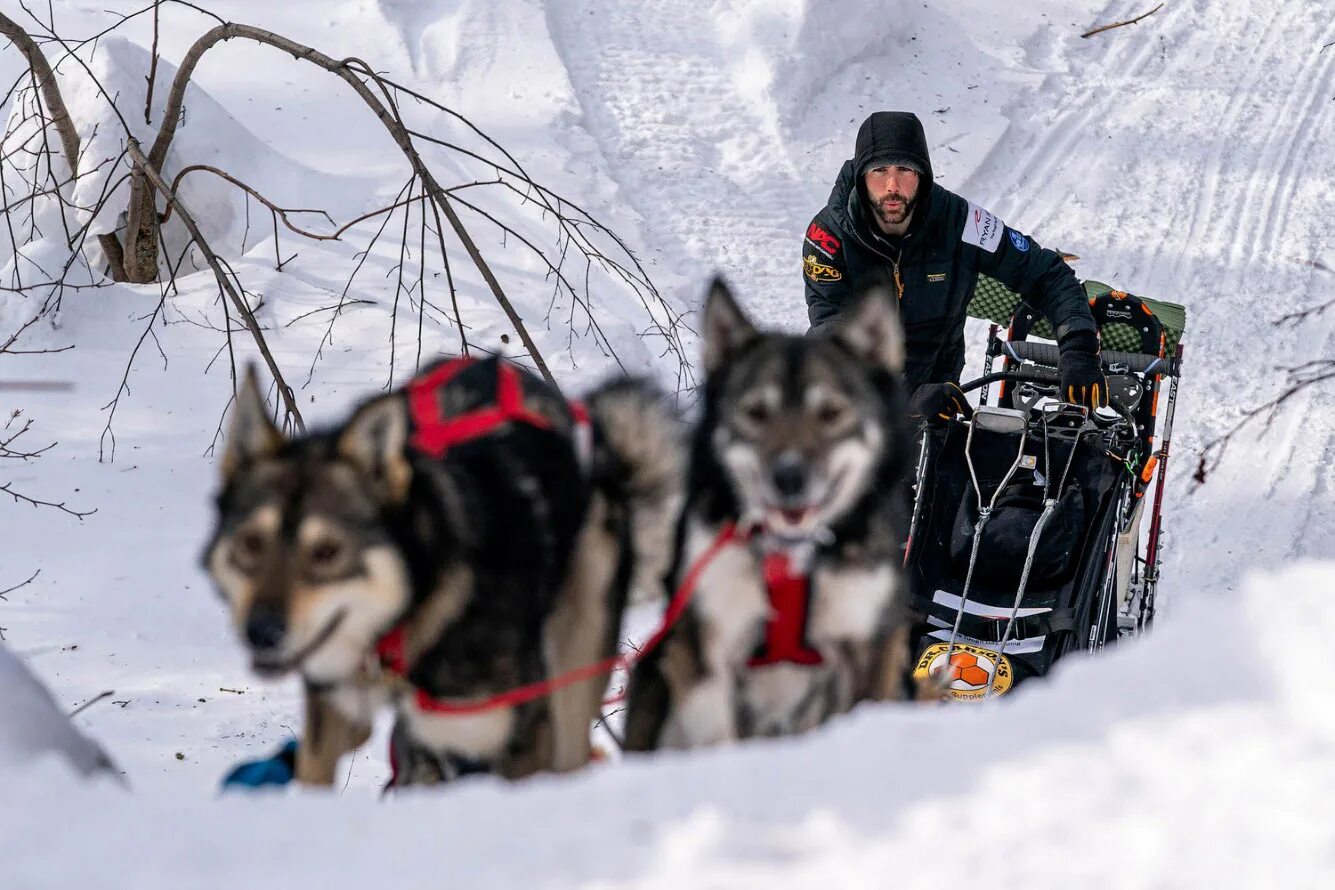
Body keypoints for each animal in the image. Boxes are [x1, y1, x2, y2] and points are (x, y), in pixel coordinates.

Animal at [622, 280, 918, 752]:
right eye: (756, 412)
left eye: (831, 413)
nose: (789, 477)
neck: (791, 560)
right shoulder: (707, 654)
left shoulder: (869, 648)